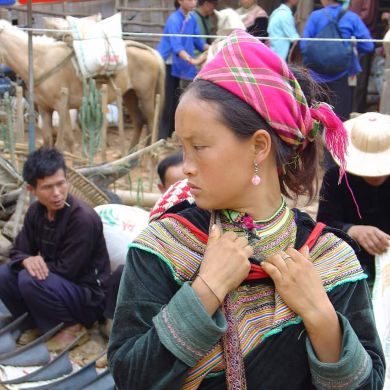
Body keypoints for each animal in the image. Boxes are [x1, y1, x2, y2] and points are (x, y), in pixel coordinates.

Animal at [0, 19, 163, 151]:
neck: (41, 62)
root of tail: (151, 52)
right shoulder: (44, 108)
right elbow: (47, 139)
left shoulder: (62, 106)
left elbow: (68, 140)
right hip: (129, 95)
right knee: (139, 121)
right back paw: (130, 155)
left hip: (146, 95)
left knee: (152, 120)